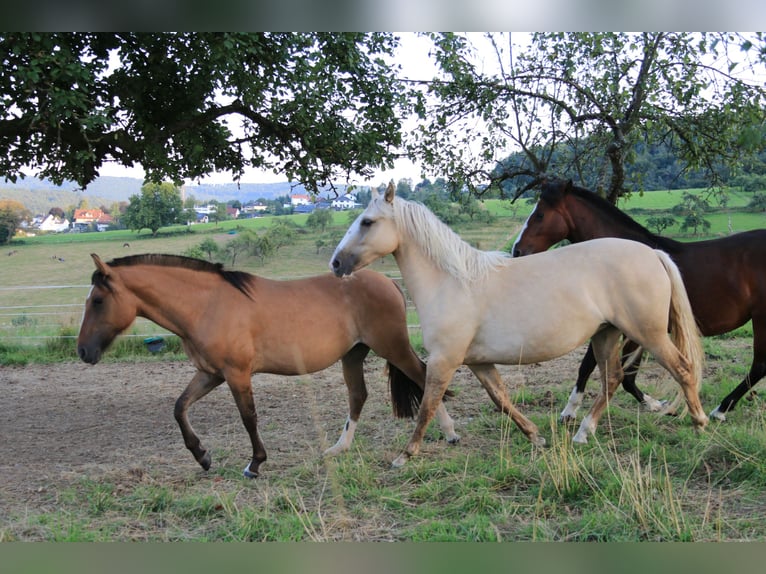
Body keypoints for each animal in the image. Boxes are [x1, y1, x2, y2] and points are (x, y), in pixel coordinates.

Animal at [76, 255, 462, 476]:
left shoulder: (236, 375)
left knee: (426, 378)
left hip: (392, 347)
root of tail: (389, 282)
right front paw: (202, 456)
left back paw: (445, 436)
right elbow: (179, 407)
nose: (83, 351)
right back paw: (339, 449)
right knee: (358, 396)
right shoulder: (210, 374)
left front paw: (255, 463)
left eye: (98, 301)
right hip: (354, 355)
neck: (207, 305)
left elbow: (248, 417)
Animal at [332, 184, 712, 468]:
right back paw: (583, 432)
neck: (453, 283)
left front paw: (405, 455)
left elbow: (427, 403)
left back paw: (700, 424)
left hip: (648, 334)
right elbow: (501, 399)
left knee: (682, 368)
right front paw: (535, 436)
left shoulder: (444, 360)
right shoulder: (478, 362)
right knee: (613, 379)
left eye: (367, 222)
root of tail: (653, 254)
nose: (336, 263)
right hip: (606, 334)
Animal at [512, 180, 766, 424]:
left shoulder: (631, 330)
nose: (517, 251)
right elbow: (590, 366)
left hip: (760, 318)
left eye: (540, 214)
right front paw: (569, 412)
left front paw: (655, 404)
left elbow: (623, 375)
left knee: (759, 366)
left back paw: (721, 409)